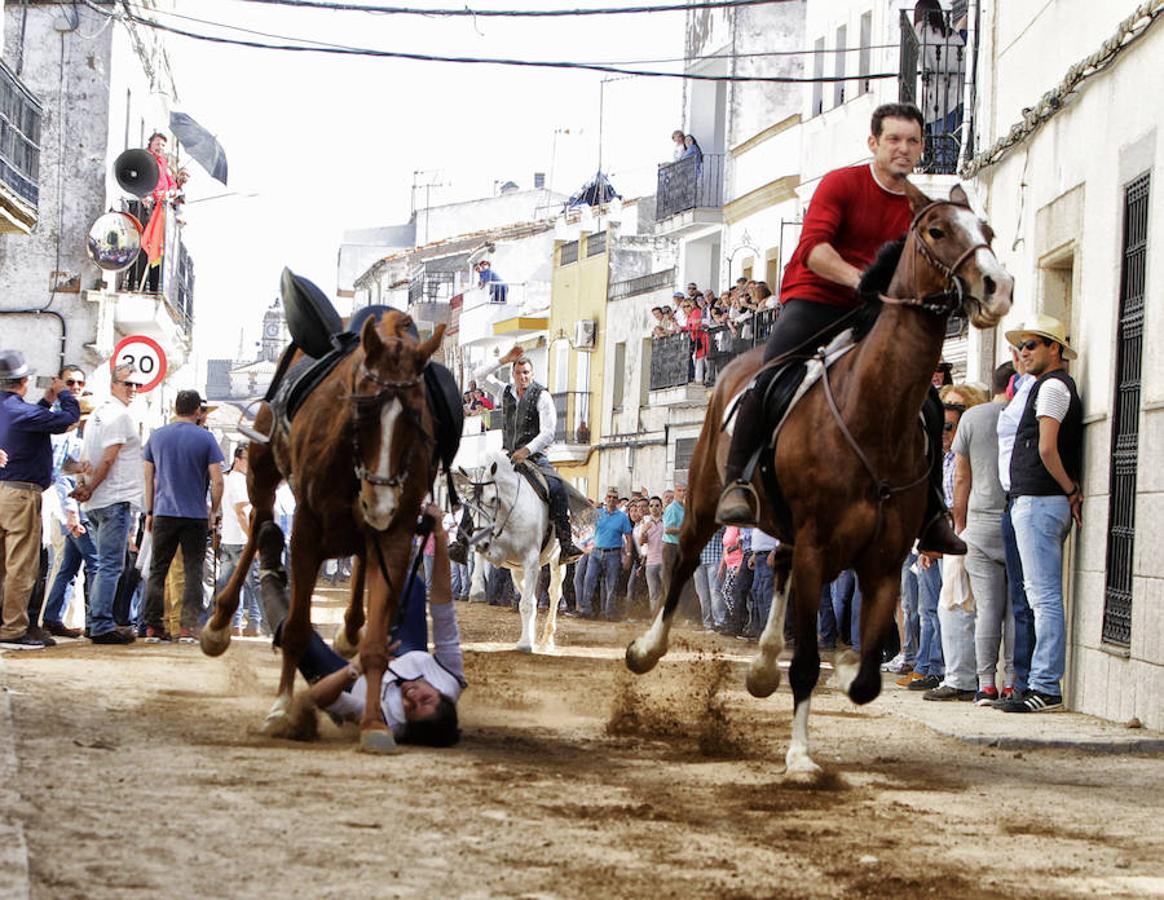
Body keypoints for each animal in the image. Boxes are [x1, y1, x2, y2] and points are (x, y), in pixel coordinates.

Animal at [202, 309, 442, 749]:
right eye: (362, 410)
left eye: (416, 413)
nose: (379, 502)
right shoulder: (307, 527)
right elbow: (297, 628)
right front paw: (282, 709)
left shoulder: (397, 532)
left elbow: (377, 643)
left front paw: (375, 724)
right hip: (261, 469)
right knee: (259, 520)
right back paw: (221, 620)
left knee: (358, 552)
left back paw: (349, 628)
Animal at [453, 454, 568, 647]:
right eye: (469, 501)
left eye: (493, 499)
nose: (481, 543)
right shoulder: (501, 554)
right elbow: (480, 557)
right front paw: (477, 589)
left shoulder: (530, 558)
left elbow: (527, 604)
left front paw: (526, 644)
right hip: (517, 569)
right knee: (531, 596)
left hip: (556, 559)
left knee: (554, 593)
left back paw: (547, 639)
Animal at [623, 180, 1015, 773]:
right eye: (936, 230)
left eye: (988, 230)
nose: (998, 287)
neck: (871, 411)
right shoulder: (817, 547)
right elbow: (807, 661)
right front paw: (801, 756)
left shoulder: (883, 559)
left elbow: (867, 674)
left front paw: (853, 665)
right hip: (705, 502)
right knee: (686, 562)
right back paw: (647, 650)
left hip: (789, 531)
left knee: (774, 567)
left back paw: (764, 667)